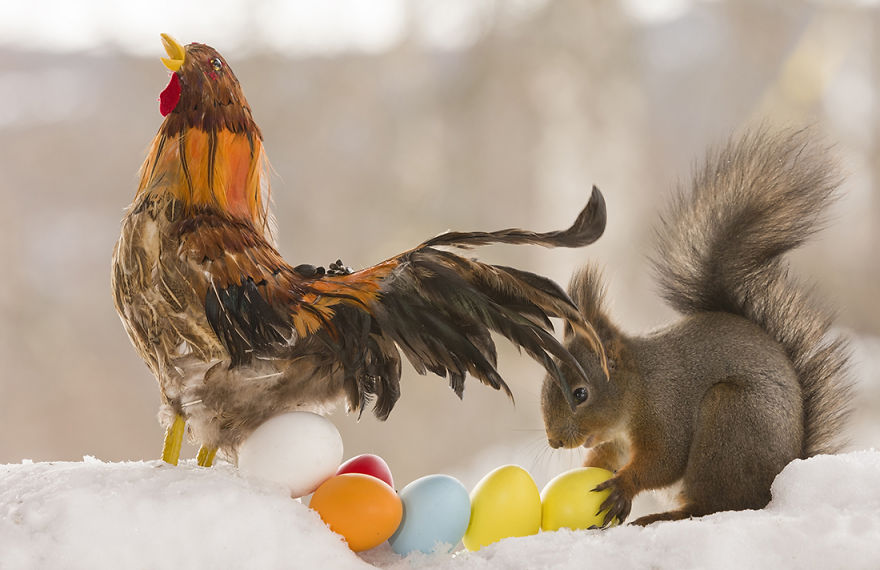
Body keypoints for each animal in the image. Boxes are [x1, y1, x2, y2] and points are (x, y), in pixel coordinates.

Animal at [540, 128, 853, 526]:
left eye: (581, 393)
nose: (554, 441)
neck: (639, 387)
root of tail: (776, 483)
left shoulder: (668, 410)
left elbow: (664, 461)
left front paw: (623, 486)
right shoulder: (614, 439)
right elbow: (606, 457)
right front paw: (590, 468)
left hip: (728, 421)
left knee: (713, 505)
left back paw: (663, 517)